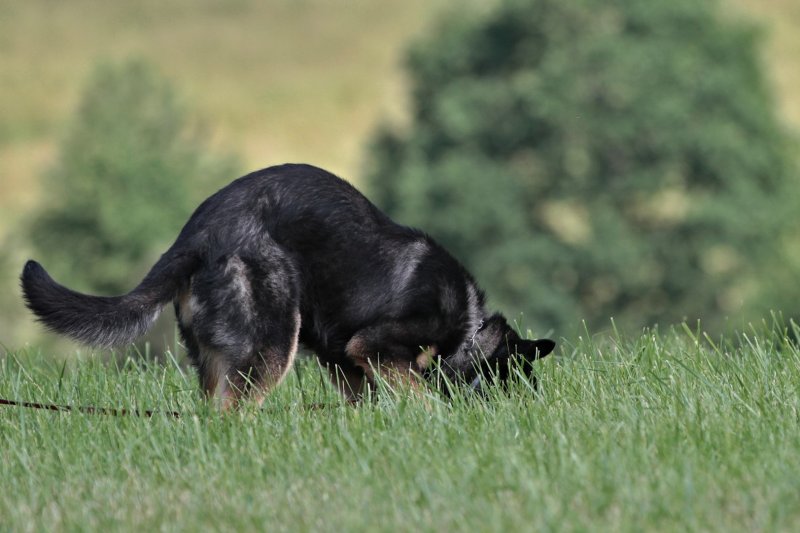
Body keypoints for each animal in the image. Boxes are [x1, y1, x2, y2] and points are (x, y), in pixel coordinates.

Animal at [20, 164, 556, 406]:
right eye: (517, 382)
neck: (467, 329)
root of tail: (197, 234)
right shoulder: (373, 346)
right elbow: (422, 395)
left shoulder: (347, 363)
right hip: (272, 341)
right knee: (234, 410)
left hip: (221, 356)